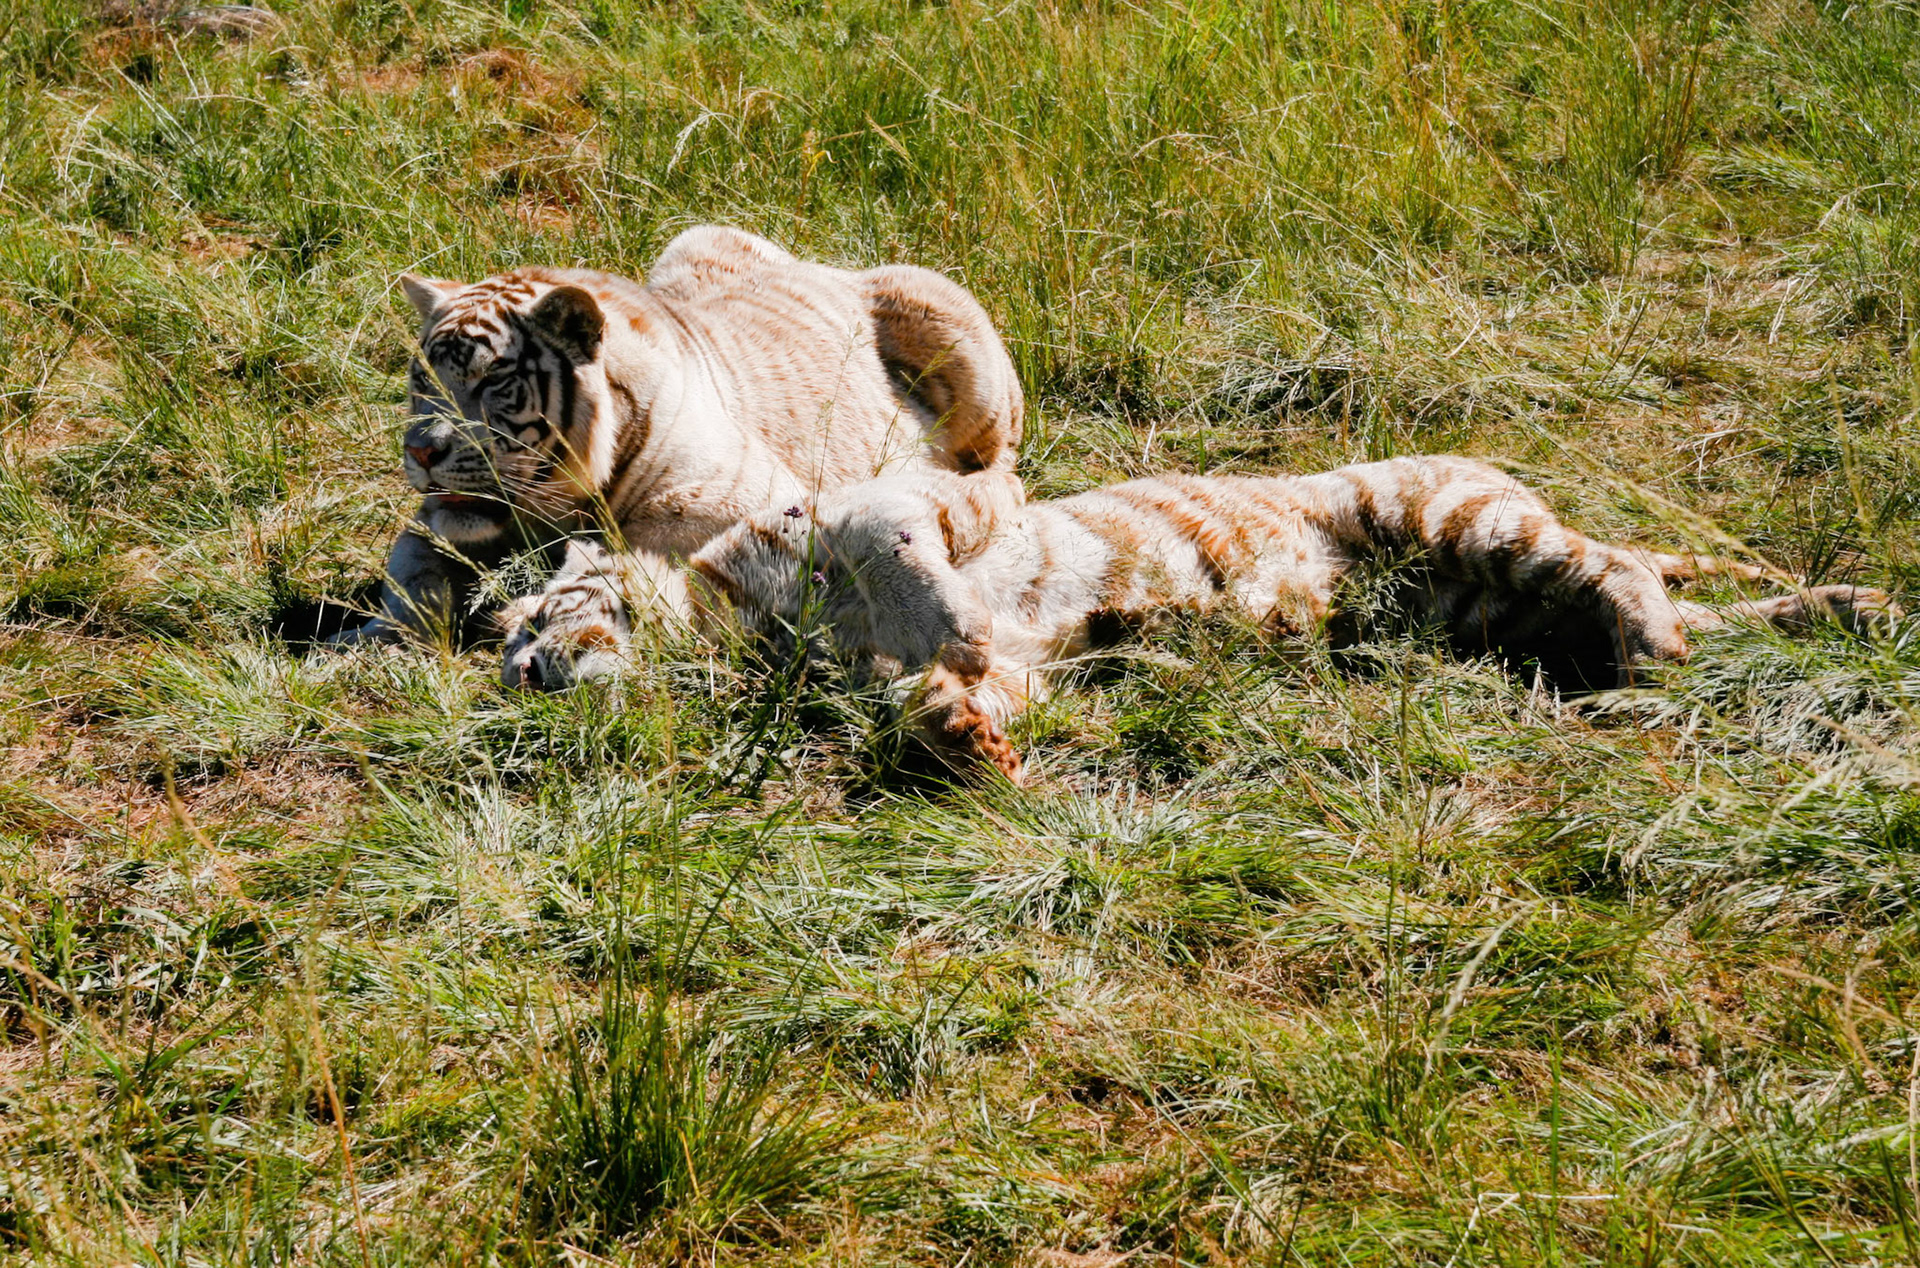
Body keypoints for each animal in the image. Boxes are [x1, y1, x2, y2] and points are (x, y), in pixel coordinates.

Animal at [327, 225, 1023, 664]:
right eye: (422, 378)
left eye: (492, 379)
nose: (420, 452)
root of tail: (829, 268)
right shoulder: (434, 526)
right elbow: (410, 575)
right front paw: (365, 644)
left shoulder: (748, 504)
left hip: (958, 342)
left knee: (1004, 465)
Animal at [656, 456, 1892, 781]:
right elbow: (943, 695)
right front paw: (965, 739)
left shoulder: (914, 505)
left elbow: (916, 564)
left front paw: (950, 648)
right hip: (1501, 614)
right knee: (1692, 611)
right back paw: (1853, 612)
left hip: (1469, 524)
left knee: (1632, 569)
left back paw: (1657, 655)